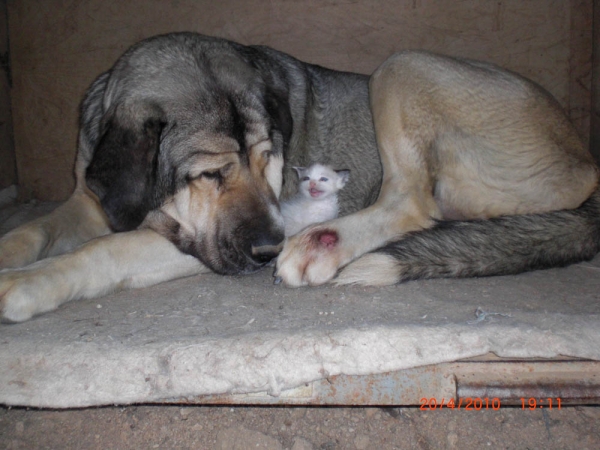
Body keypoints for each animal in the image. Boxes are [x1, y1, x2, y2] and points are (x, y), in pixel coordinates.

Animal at [1, 33, 600, 322]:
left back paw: (320, 244)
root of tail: (587, 161)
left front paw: (28, 283)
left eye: (268, 157)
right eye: (210, 174)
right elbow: (33, 230)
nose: (270, 246)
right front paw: (16, 252)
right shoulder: (88, 198)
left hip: (401, 66)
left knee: (409, 202)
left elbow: (100, 251)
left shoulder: (199, 241)